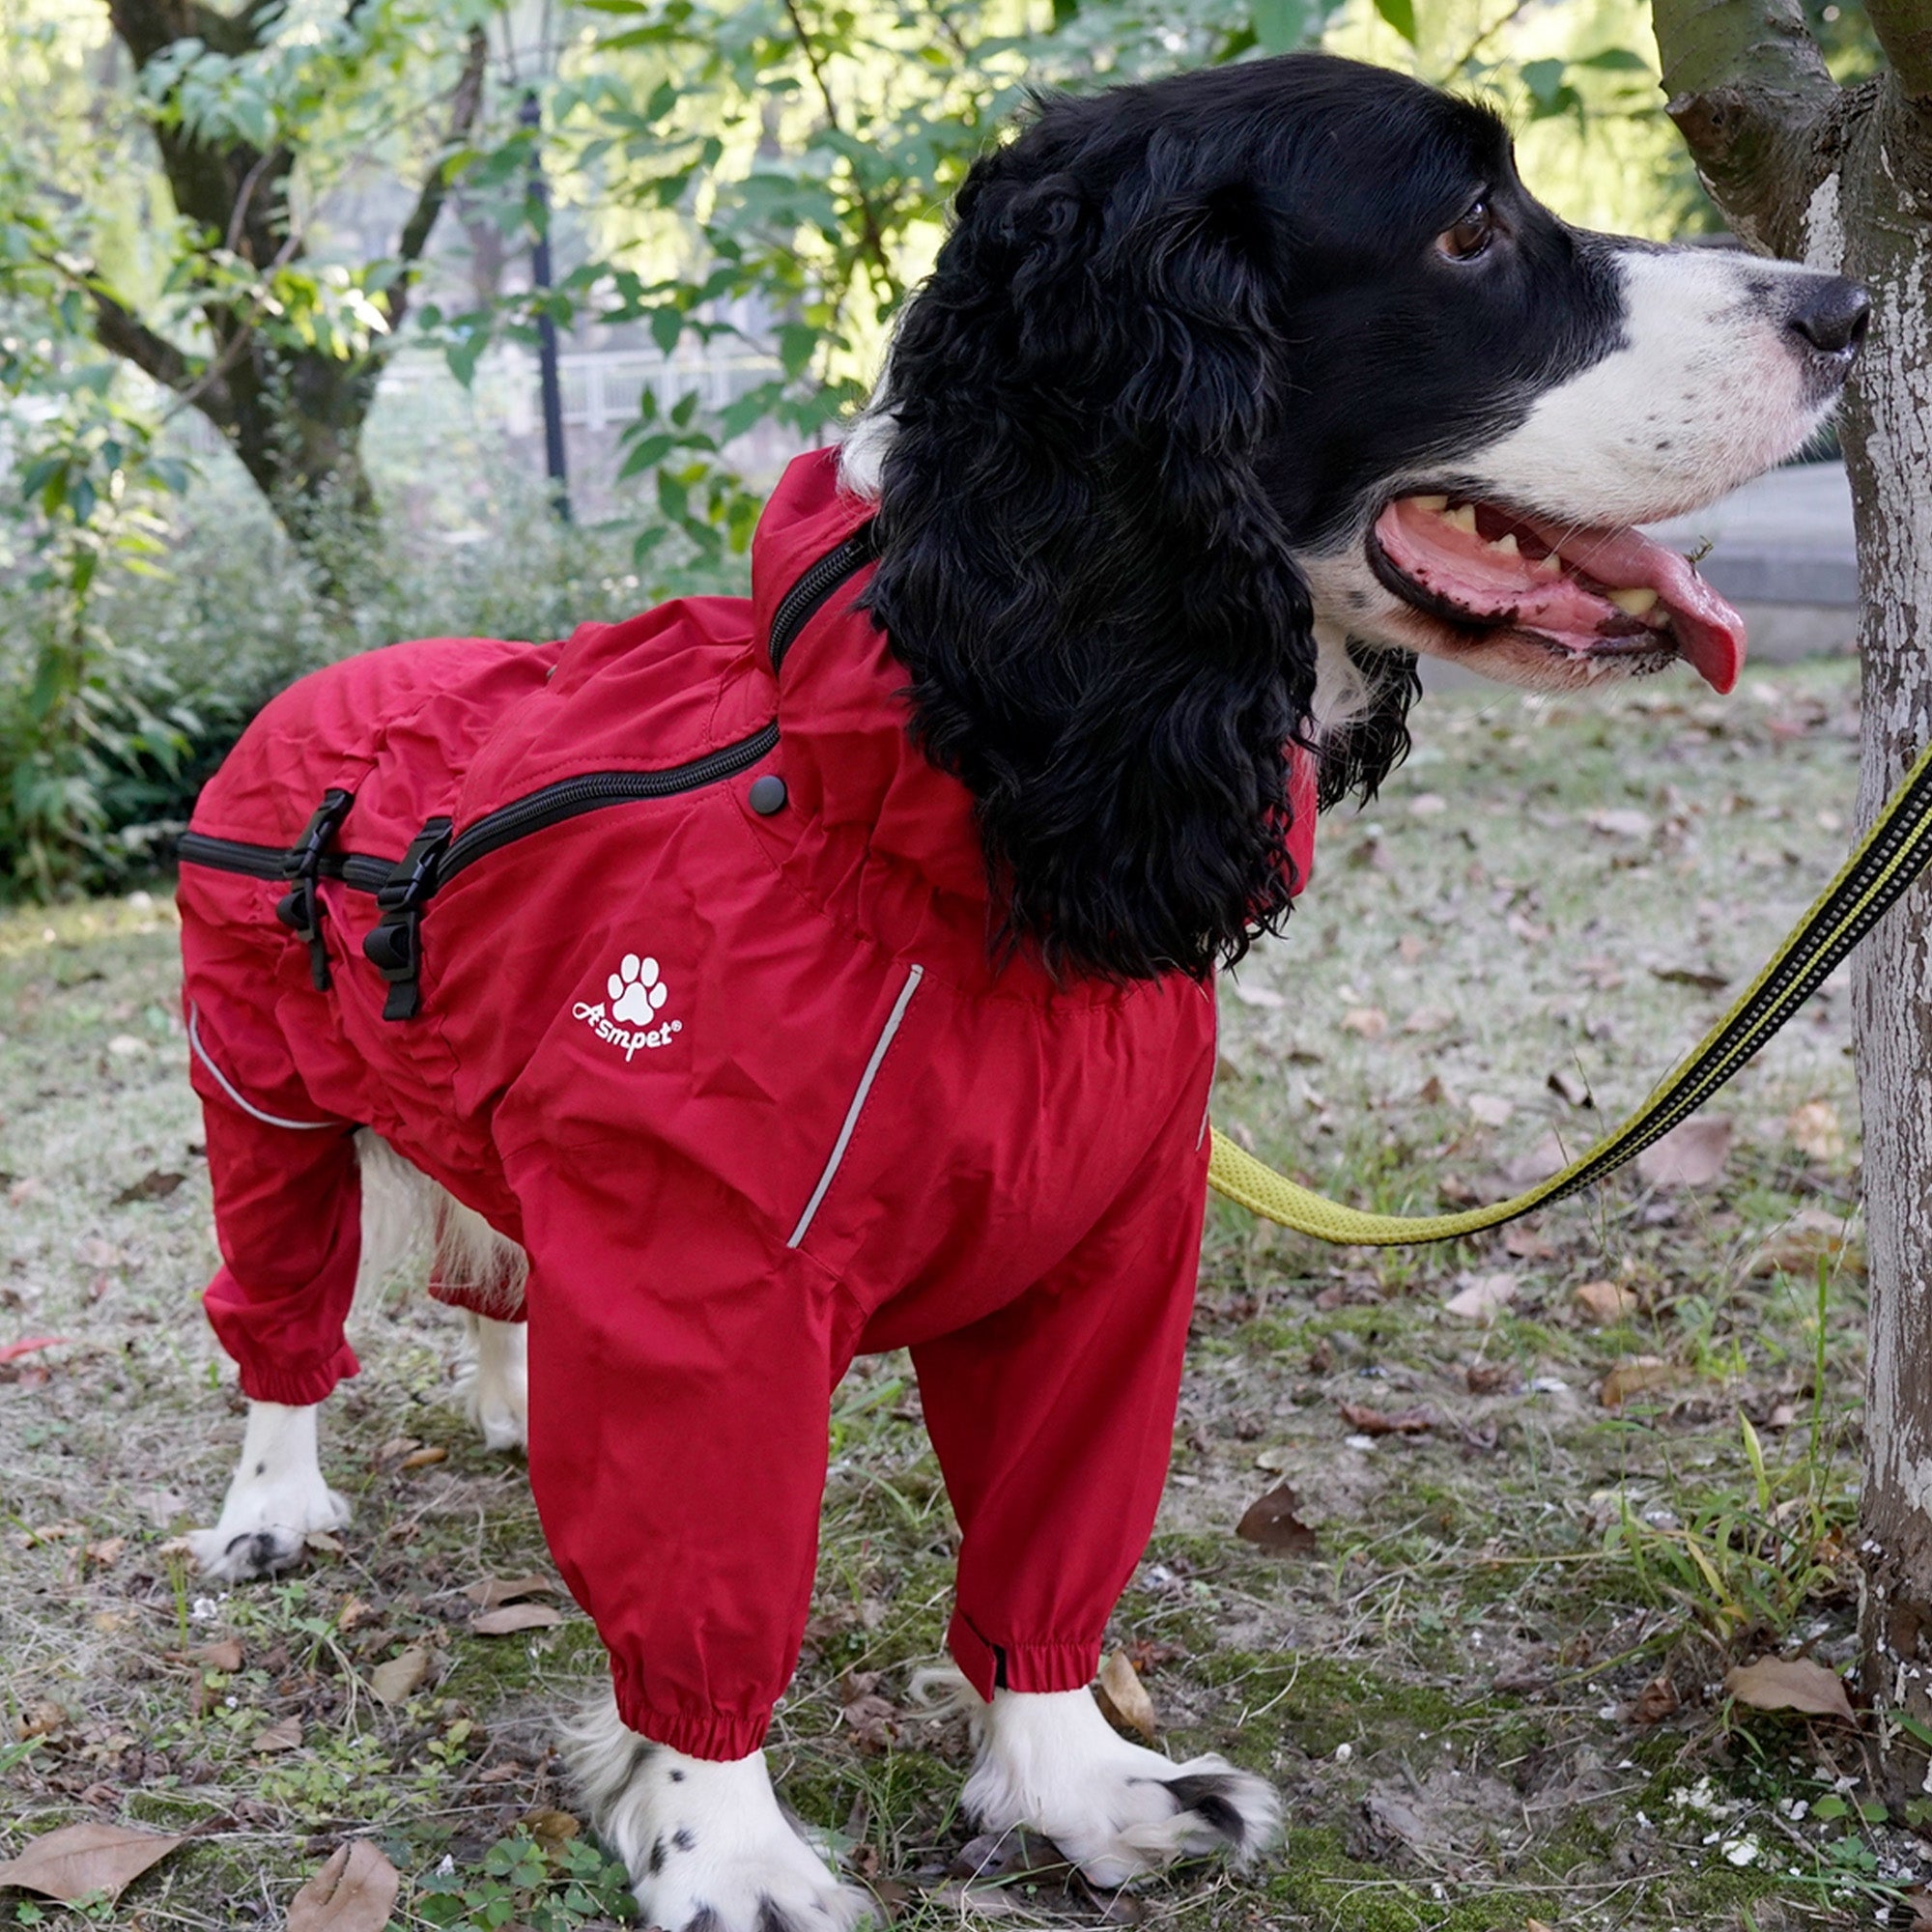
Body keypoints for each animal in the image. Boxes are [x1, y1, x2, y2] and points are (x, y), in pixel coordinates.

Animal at [188, 52, 1862, 1924]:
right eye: (1468, 228)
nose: (1846, 308)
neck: (968, 777)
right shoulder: (703, 1285)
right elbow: (703, 1581)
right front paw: (724, 1849)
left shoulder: (1104, 1258)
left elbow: (1049, 1532)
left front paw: (1080, 1787)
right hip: (260, 1100)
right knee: (281, 1326)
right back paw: (270, 1505)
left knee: (492, 1278)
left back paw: (510, 1408)